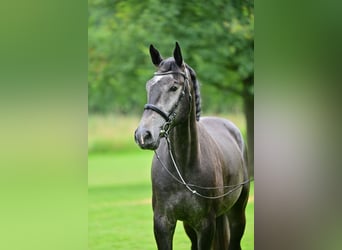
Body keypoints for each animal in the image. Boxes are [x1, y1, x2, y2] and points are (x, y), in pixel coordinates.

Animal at [135, 42, 250, 249]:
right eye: (149, 85)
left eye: (174, 87)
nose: (143, 135)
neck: (182, 166)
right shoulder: (163, 223)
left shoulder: (205, 224)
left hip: (237, 214)